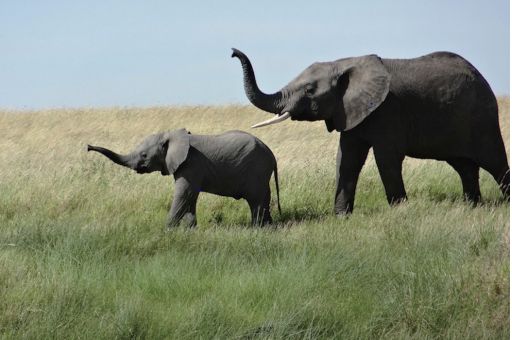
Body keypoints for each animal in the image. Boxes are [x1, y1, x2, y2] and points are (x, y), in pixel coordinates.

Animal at [87, 129, 280, 227]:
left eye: (144, 155)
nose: (88, 147)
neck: (171, 135)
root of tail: (272, 156)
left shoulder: (191, 164)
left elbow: (184, 194)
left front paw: (167, 230)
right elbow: (190, 197)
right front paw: (190, 229)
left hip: (257, 170)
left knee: (256, 201)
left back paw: (257, 228)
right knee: (264, 198)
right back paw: (268, 227)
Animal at [234, 47, 510, 214]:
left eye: (310, 90)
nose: (233, 52)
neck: (343, 64)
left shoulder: (388, 110)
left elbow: (386, 159)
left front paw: (399, 211)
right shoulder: (349, 111)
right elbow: (347, 159)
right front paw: (340, 217)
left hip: (482, 117)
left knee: (494, 162)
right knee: (464, 166)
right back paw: (472, 206)